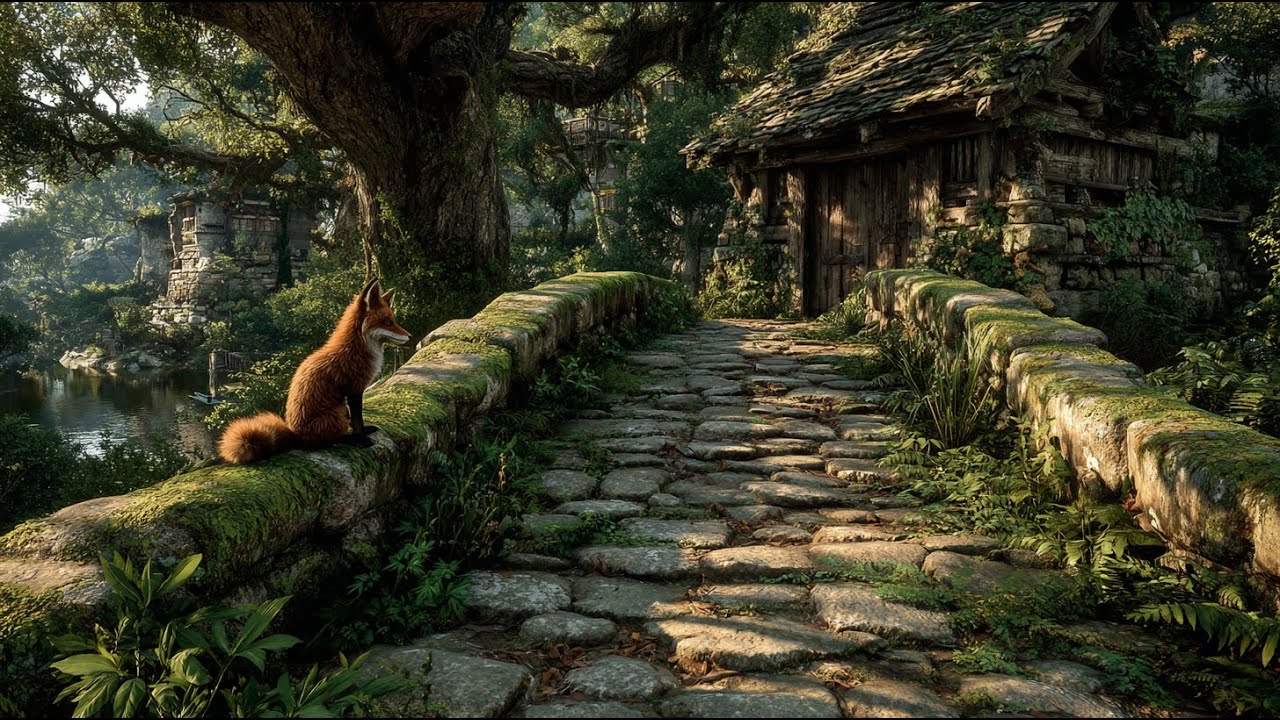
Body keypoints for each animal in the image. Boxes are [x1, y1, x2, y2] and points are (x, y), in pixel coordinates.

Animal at [218, 277, 411, 464]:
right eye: (387, 322)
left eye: (393, 320)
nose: (410, 336)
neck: (355, 349)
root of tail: (295, 435)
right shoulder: (354, 389)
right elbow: (358, 420)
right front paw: (361, 438)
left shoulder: (354, 392)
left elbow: (358, 420)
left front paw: (364, 431)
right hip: (337, 413)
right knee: (327, 441)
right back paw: (349, 439)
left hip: (340, 410)